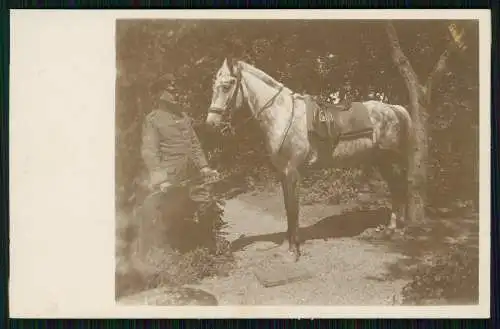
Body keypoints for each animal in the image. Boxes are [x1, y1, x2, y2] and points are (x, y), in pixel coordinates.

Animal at [205, 57, 412, 260]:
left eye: (226, 86)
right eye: (214, 86)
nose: (211, 123)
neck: (283, 116)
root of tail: (395, 109)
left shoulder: (292, 171)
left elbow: (293, 209)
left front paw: (294, 249)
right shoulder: (283, 173)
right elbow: (288, 208)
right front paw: (287, 244)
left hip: (389, 160)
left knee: (399, 187)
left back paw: (398, 229)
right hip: (381, 161)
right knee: (396, 188)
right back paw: (391, 229)